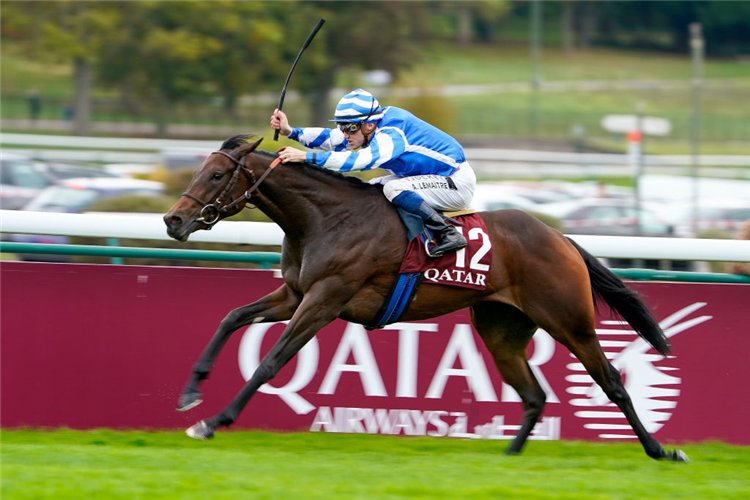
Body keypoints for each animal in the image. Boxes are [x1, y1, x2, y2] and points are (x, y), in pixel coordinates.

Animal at [167, 135, 692, 462]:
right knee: (534, 395)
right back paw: (510, 456)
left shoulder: (325, 299)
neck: (324, 218)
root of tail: (561, 238)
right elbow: (231, 317)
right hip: (500, 330)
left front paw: (213, 421)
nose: (173, 220)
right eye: (200, 170)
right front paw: (191, 393)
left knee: (612, 382)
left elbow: (271, 361)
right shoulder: (295, 293)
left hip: (570, 321)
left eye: (217, 175)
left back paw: (662, 450)